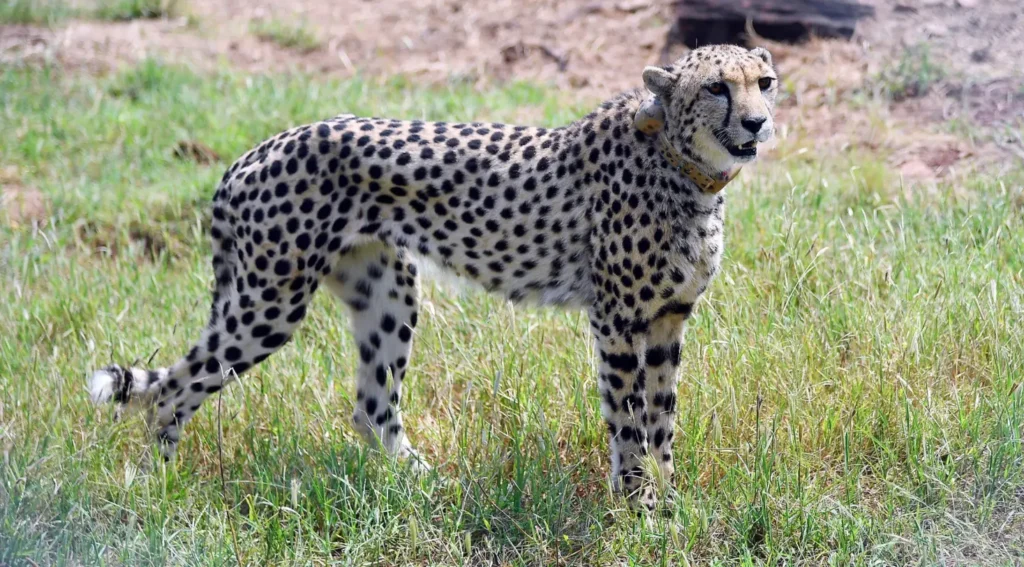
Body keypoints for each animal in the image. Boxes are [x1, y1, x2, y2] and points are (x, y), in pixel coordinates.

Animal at [87, 44, 778, 512]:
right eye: (717, 88)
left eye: (765, 83)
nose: (757, 122)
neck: (685, 167)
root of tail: (254, 151)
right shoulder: (617, 320)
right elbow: (628, 418)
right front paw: (640, 506)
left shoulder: (667, 319)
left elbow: (663, 418)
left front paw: (670, 499)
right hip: (270, 302)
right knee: (172, 388)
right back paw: (157, 485)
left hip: (387, 291)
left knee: (371, 407)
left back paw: (425, 486)